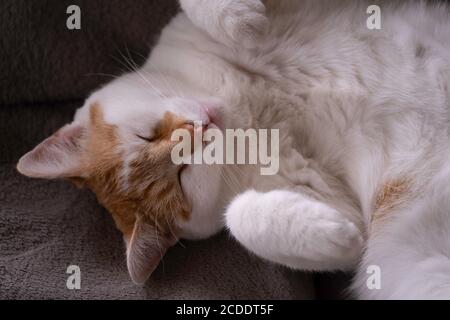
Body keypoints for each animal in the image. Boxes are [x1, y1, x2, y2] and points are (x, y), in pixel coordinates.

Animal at [15, 0, 450, 300]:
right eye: (182, 178)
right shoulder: (327, 197)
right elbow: (240, 216)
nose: (198, 131)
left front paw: (238, 19)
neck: (246, 103)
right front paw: (335, 234)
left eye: (145, 135)